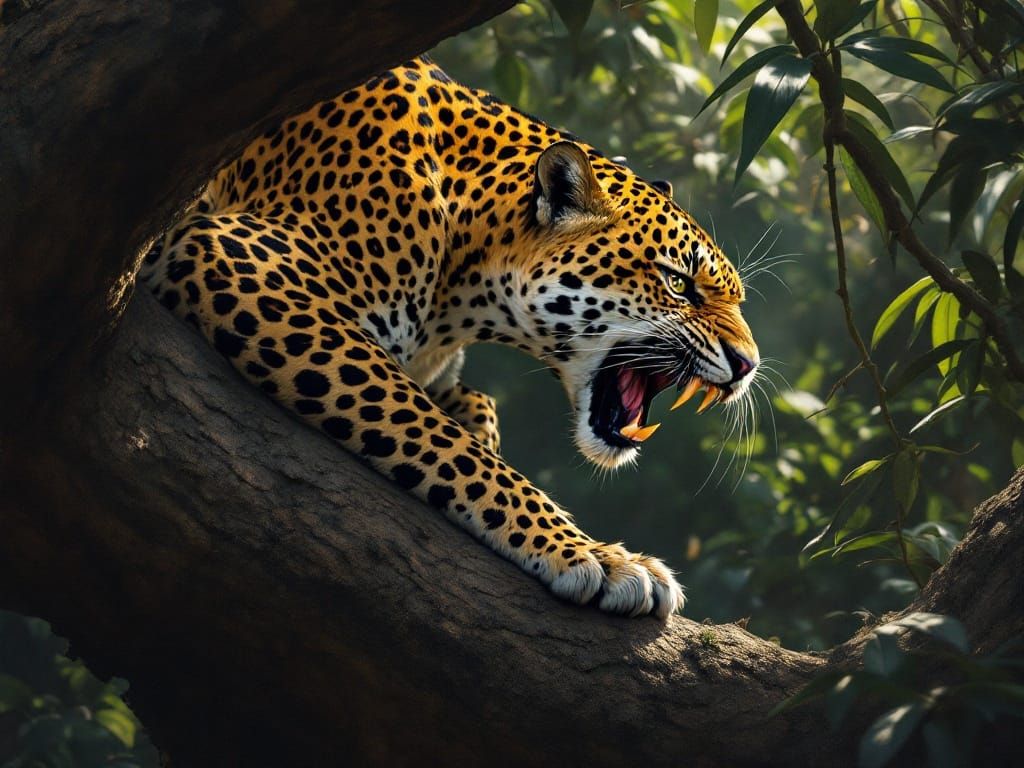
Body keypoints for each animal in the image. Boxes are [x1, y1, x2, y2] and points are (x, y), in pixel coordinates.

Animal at [139, 56, 759, 619]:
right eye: (678, 283)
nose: (748, 365)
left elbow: (476, 411)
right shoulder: (247, 259)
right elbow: (444, 440)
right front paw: (594, 556)